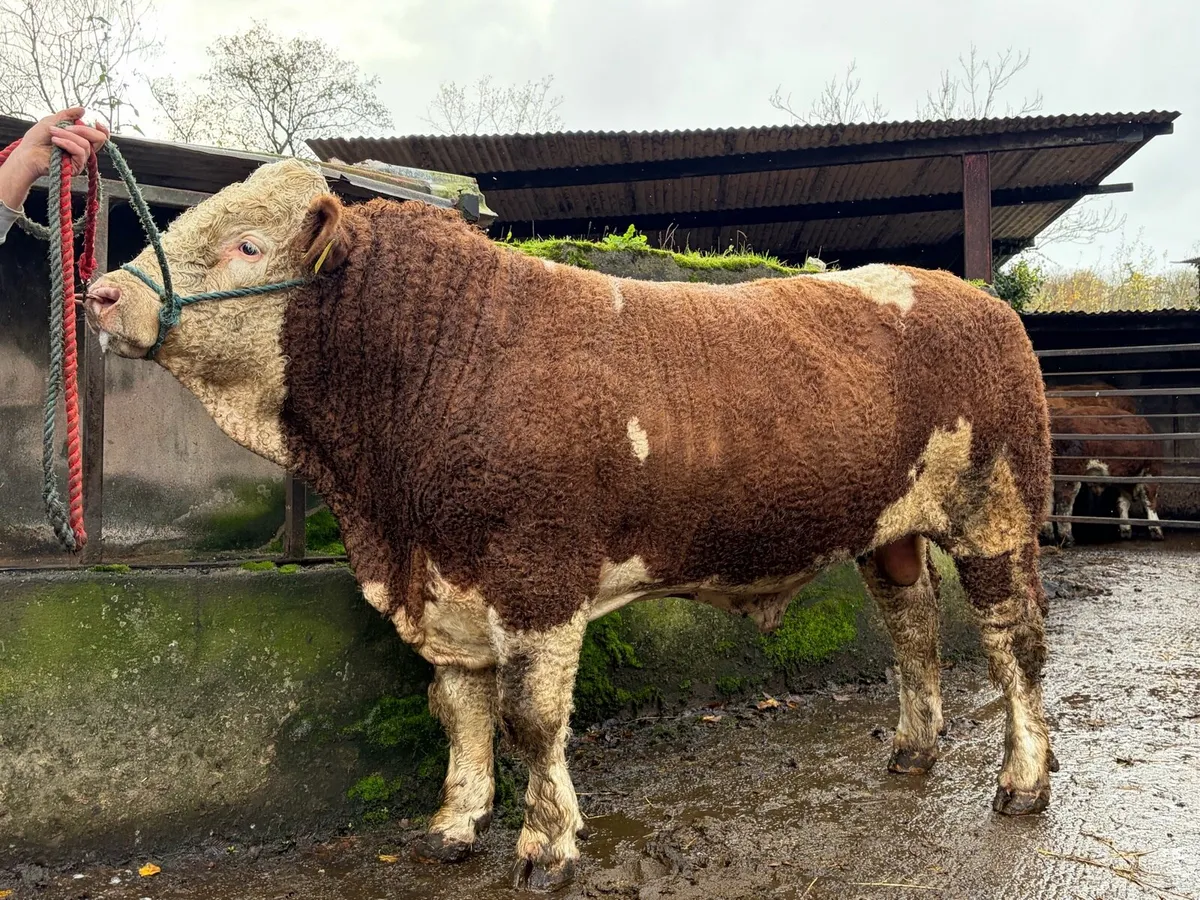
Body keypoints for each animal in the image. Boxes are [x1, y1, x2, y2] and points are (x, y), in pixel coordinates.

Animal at [83, 159, 1056, 891]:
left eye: (246, 244)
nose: (101, 294)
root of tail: (974, 295)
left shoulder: (536, 571)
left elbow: (530, 718)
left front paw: (546, 844)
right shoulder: (449, 582)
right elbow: (460, 708)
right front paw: (454, 823)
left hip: (996, 511)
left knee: (1013, 642)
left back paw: (1022, 780)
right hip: (890, 533)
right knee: (914, 626)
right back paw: (914, 748)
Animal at [1047, 403, 1165, 546]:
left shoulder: (1123, 480)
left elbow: (1122, 503)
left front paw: (1125, 529)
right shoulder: (1151, 471)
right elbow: (1149, 501)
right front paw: (1156, 530)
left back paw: (1048, 535)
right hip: (1070, 472)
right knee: (1064, 501)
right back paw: (1067, 538)